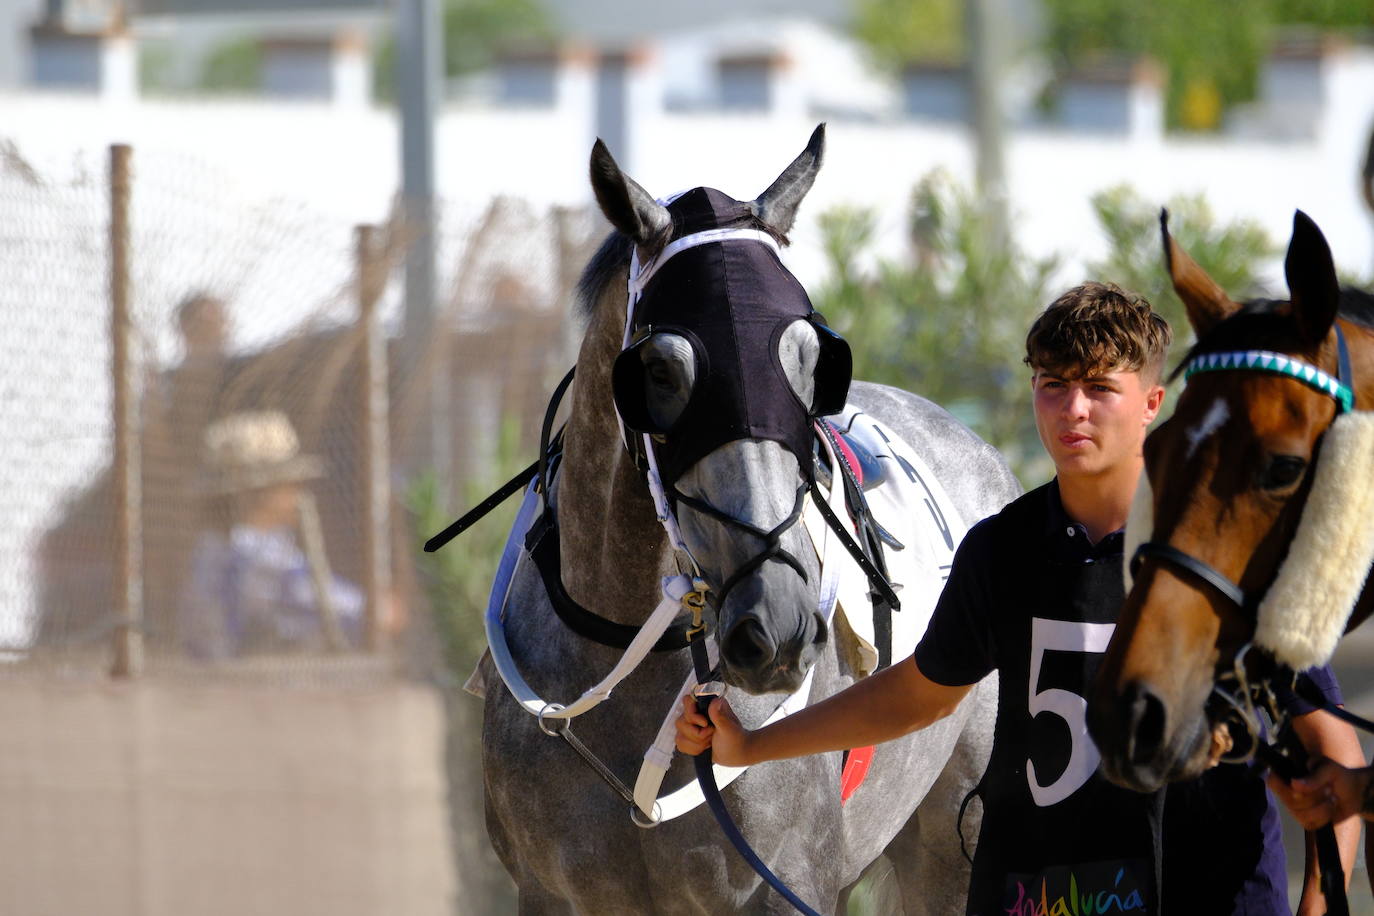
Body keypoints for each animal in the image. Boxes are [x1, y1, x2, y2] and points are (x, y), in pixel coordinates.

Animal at [475, 125, 1022, 911]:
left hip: (953, 847)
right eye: (662, 371)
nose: (780, 623)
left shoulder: (784, 884)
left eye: (811, 360)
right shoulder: (550, 892)